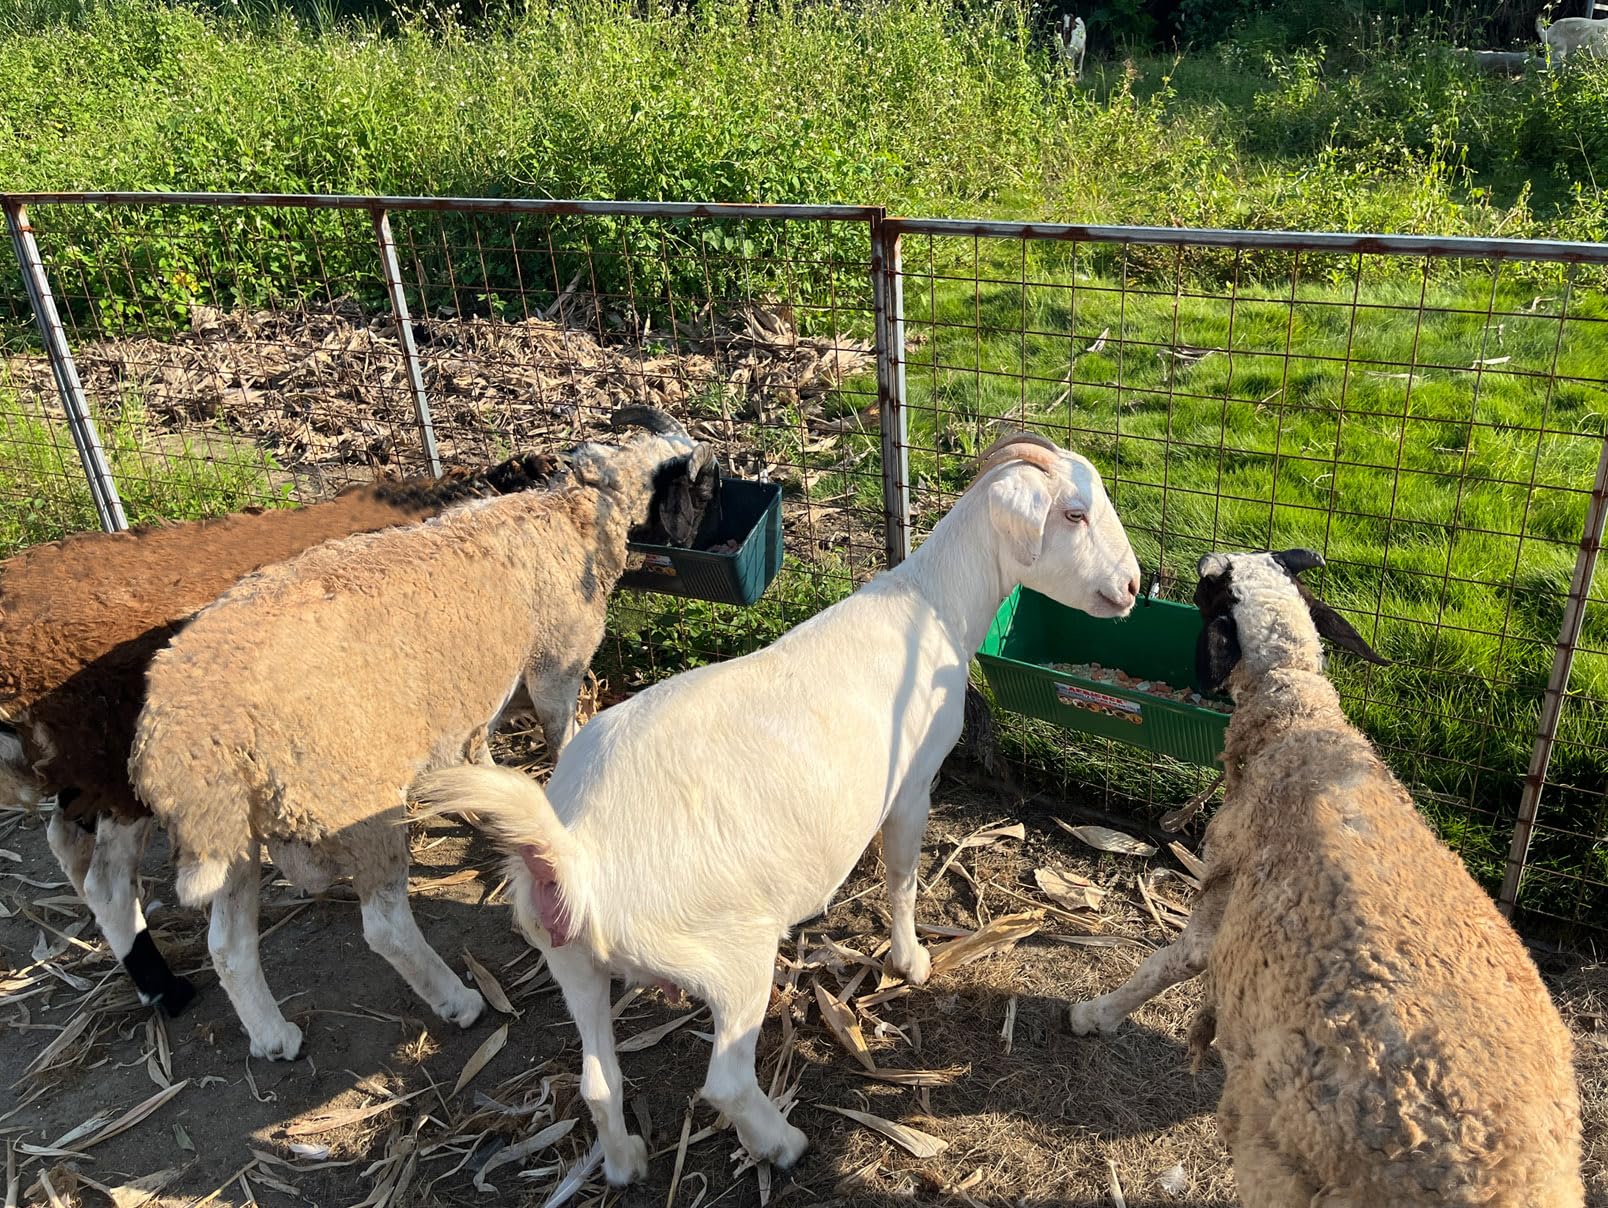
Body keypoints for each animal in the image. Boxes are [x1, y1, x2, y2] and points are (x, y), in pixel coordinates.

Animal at [128, 408, 717, 1061]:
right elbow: (562, 737)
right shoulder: (554, 668)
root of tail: (184, 737)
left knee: (228, 946)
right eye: (704, 488)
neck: (572, 514)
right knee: (384, 927)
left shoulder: (469, 705)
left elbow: (476, 754)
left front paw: (485, 803)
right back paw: (458, 1001)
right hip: (349, 801)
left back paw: (274, 1035)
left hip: (236, 833)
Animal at [411, 431, 1141, 1185]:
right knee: (726, 1081)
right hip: (727, 956)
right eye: (1075, 514)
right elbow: (902, 878)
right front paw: (910, 962)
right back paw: (782, 1143)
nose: (1132, 588)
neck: (932, 605)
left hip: (572, 962)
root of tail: (572, 855)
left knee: (597, 1082)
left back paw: (625, 1162)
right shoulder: (912, 785)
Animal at [1067, 549, 1585, 1207]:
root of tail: (1507, 1182)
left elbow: (1165, 965)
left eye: (1210, 589)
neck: (1298, 717)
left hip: (1282, 1166)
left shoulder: (1222, 905)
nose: (1201, 559)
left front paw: (1095, 1015)